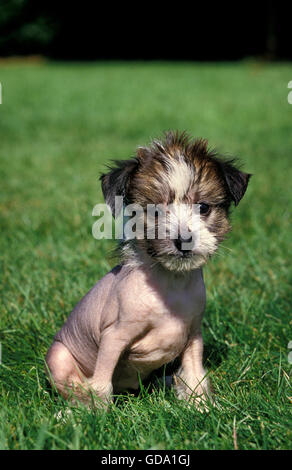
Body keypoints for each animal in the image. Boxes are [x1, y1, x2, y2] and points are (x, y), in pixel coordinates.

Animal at [45, 131, 251, 408]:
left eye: (204, 207)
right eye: (155, 210)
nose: (184, 240)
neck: (171, 284)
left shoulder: (193, 337)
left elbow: (195, 375)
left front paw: (201, 408)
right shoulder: (113, 338)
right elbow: (101, 384)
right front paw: (95, 413)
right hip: (58, 357)